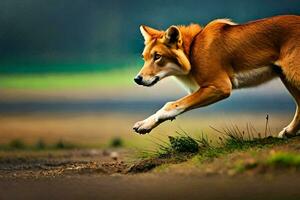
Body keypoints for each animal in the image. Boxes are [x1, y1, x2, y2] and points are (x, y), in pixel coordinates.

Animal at [133, 14, 300, 138]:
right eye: (144, 57)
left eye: (157, 56)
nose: (137, 79)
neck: (192, 50)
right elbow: (174, 107)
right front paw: (145, 124)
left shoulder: (220, 87)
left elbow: (170, 105)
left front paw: (146, 123)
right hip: (287, 77)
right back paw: (289, 132)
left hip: (293, 75)